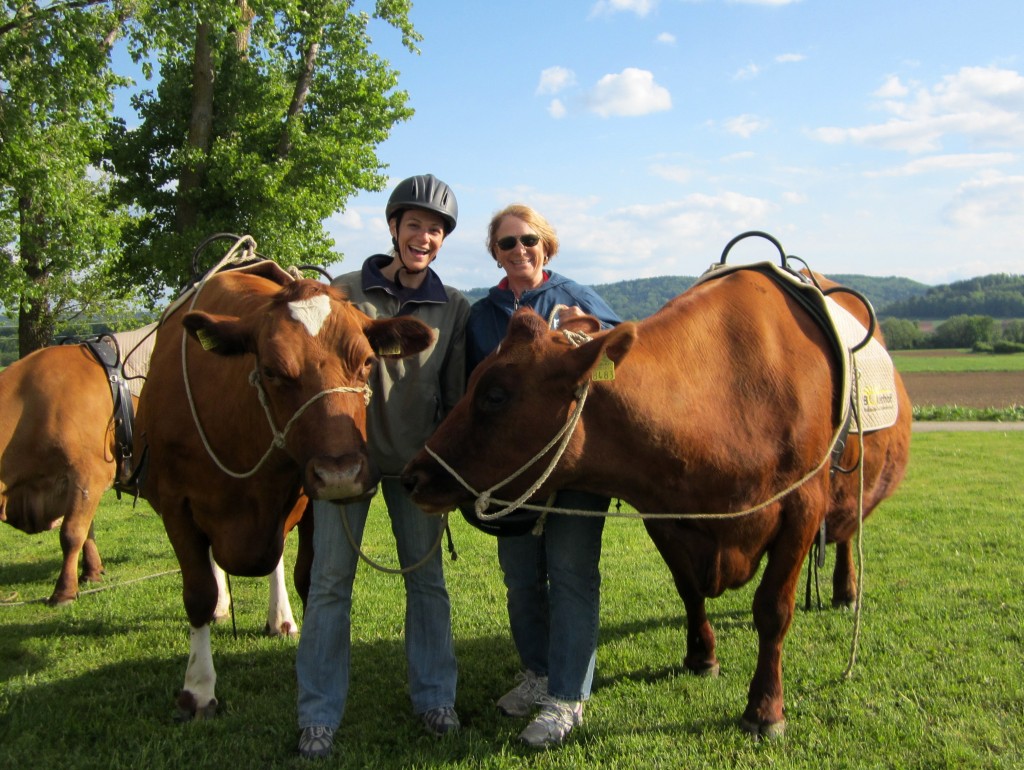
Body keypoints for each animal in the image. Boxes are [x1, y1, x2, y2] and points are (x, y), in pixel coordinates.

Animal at [135, 262, 432, 720]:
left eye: (367, 362)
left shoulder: (308, 502)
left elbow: (307, 577)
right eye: (272, 371)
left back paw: (281, 618)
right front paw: (198, 689)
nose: (341, 473)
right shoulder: (175, 505)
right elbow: (198, 593)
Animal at [401, 266, 913, 741]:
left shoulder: (801, 507)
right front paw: (701, 657)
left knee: (847, 531)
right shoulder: (664, 516)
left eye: (494, 395)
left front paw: (765, 710)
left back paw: (846, 591)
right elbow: (688, 589)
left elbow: (773, 610)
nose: (413, 476)